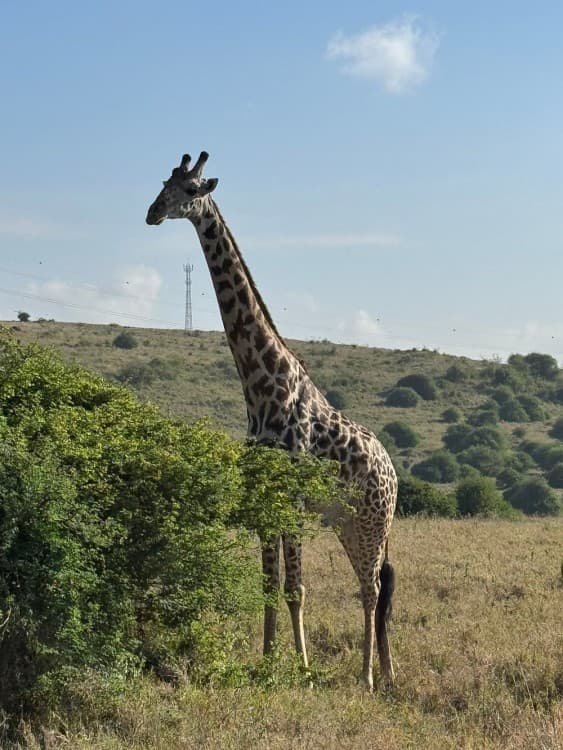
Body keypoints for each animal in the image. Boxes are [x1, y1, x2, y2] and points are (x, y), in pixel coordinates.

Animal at [146, 151, 398, 690]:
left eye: (191, 189)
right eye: (162, 184)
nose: (152, 213)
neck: (260, 387)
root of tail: (394, 472)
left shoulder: (293, 501)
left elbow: (296, 589)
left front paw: (302, 669)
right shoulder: (263, 499)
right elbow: (269, 585)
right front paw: (265, 661)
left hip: (371, 521)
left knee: (370, 591)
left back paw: (366, 678)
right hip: (350, 523)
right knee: (377, 589)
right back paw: (388, 674)